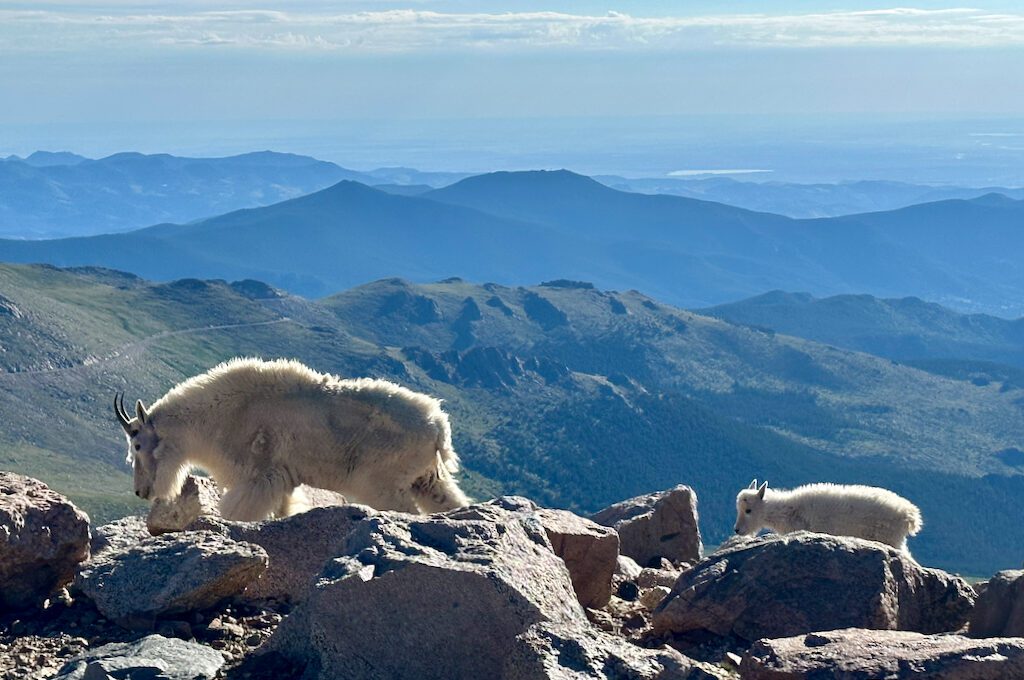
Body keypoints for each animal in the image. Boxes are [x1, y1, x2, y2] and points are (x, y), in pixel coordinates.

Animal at [115, 356, 471, 520]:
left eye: (137, 444)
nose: (141, 491)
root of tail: (438, 425)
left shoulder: (257, 477)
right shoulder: (282, 480)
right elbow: (283, 510)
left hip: (383, 481)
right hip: (427, 478)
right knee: (450, 501)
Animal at [733, 477, 925, 553]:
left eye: (748, 510)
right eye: (738, 509)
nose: (737, 530)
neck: (788, 511)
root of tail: (910, 516)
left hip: (889, 538)